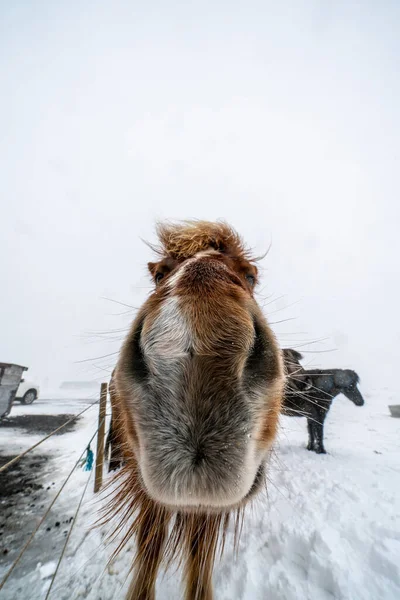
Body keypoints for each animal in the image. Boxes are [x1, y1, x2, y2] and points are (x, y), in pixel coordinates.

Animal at [103, 223, 284, 600]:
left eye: (251, 275)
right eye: (160, 274)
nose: (198, 365)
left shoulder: (210, 506)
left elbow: (200, 555)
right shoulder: (145, 487)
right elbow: (150, 544)